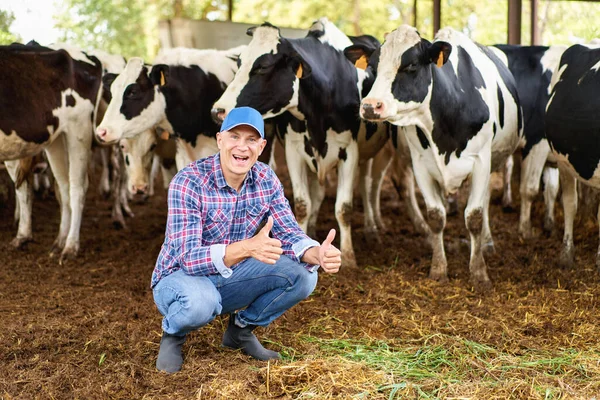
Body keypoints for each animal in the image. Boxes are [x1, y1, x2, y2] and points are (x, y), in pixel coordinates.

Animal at [0, 42, 102, 260]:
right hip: (55, 139)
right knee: (62, 187)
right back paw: (53, 241)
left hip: (79, 129)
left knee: (77, 187)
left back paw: (70, 246)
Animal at [211, 18, 398, 268]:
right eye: (240, 62)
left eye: (263, 66)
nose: (217, 111)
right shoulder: (294, 149)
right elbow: (302, 204)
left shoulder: (349, 151)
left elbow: (344, 208)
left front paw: (349, 257)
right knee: (318, 192)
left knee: (367, 187)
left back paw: (372, 229)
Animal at [350, 25, 524, 288]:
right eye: (373, 66)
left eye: (412, 65)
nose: (370, 106)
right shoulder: (422, 164)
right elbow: (435, 215)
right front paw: (438, 268)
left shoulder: (481, 161)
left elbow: (474, 216)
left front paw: (479, 272)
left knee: (483, 201)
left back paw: (486, 242)